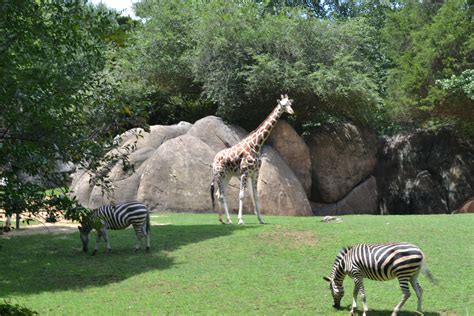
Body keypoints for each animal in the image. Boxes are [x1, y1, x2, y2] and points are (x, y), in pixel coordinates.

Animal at [210, 94, 292, 225]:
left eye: (290, 103)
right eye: (283, 105)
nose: (291, 111)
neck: (256, 145)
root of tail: (214, 159)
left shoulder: (255, 173)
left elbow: (256, 196)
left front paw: (261, 219)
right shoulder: (244, 173)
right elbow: (242, 195)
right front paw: (240, 220)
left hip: (227, 175)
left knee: (219, 194)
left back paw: (223, 219)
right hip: (219, 174)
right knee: (221, 194)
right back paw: (228, 219)